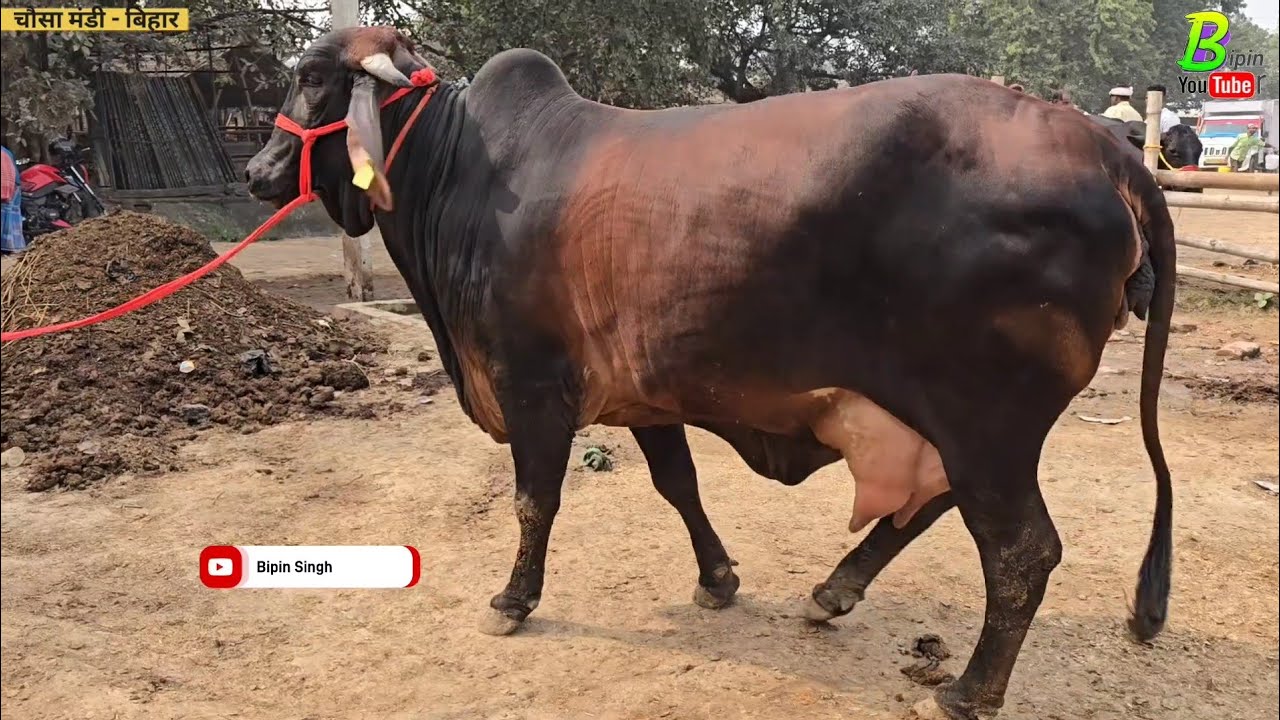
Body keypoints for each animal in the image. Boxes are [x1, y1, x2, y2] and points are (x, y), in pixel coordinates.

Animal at [246, 27, 1176, 720]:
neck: (458, 173)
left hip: (987, 419)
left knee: (1021, 549)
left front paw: (513, 599)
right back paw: (834, 591)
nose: (257, 173)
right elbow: (679, 485)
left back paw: (969, 689)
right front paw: (718, 578)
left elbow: (535, 501)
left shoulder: (532, 384)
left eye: (314, 77)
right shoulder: (642, 390)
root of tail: (1104, 149)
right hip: (955, 421)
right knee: (936, 505)